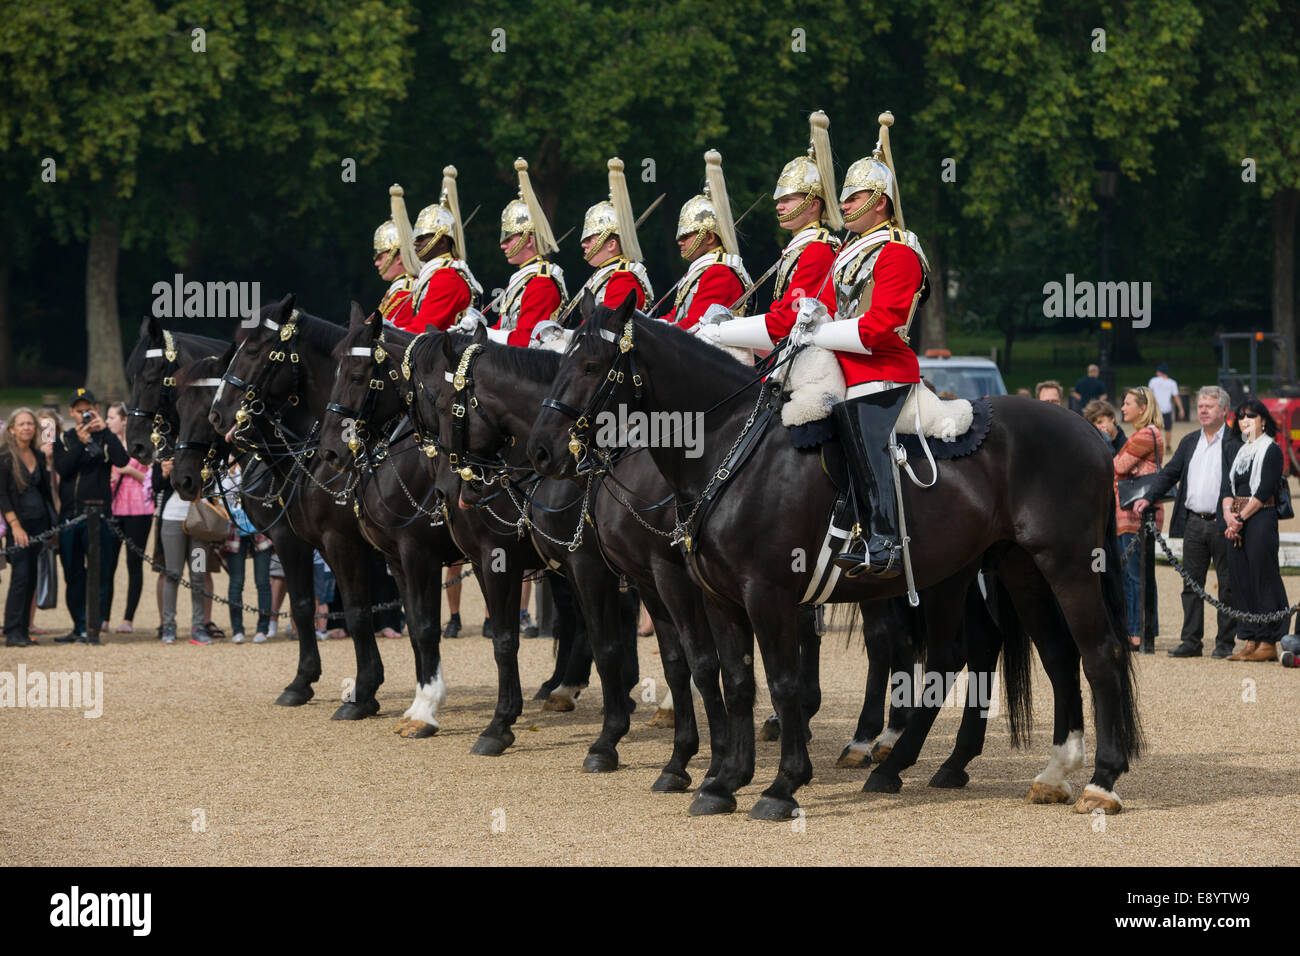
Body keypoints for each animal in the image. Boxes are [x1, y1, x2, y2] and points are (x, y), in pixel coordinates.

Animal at [526, 293, 1139, 820]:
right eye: (561, 364)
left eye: (592, 364)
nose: (543, 452)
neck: (730, 449)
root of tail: (1088, 429)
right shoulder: (717, 597)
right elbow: (736, 680)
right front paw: (723, 782)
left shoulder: (763, 594)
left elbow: (782, 682)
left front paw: (781, 785)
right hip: (1010, 568)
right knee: (1041, 655)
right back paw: (1029, 772)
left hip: (1066, 564)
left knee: (1098, 653)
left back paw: (1100, 782)